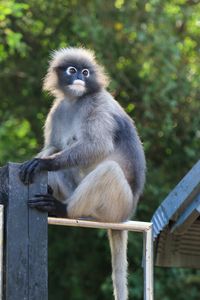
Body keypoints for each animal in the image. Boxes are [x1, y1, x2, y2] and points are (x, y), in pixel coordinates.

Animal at [19, 47, 146, 300]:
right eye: (72, 70)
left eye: (86, 72)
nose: (79, 77)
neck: (75, 101)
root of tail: (125, 216)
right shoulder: (58, 109)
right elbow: (53, 146)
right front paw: (33, 161)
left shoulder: (96, 103)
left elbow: (97, 145)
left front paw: (41, 164)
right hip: (75, 190)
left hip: (116, 206)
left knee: (109, 170)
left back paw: (63, 209)